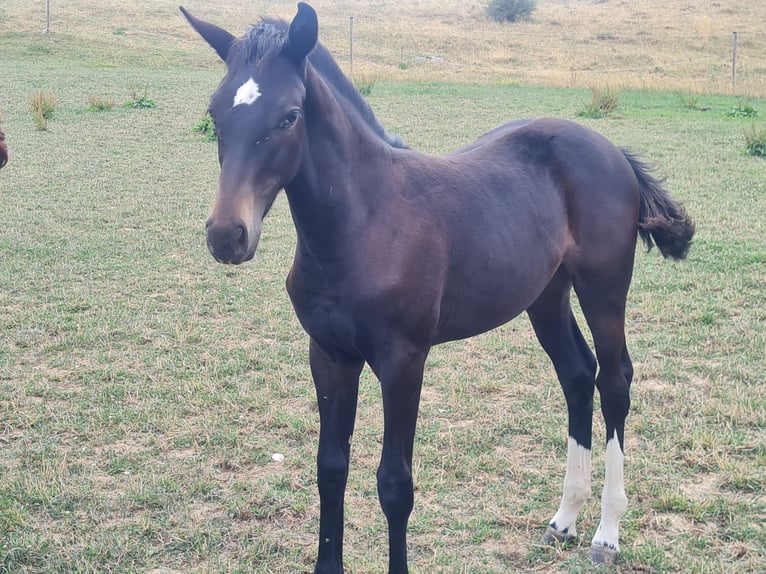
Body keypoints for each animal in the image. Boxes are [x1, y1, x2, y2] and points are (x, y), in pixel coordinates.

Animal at [181, 3, 694, 572]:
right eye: (215, 113)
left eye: (290, 116)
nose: (227, 235)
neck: (363, 223)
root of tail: (611, 150)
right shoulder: (329, 354)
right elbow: (330, 468)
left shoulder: (404, 360)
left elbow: (394, 485)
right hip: (546, 295)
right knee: (578, 374)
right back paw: (564, 520)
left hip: (604, 287)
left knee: (615, 380)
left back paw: (606, 533)